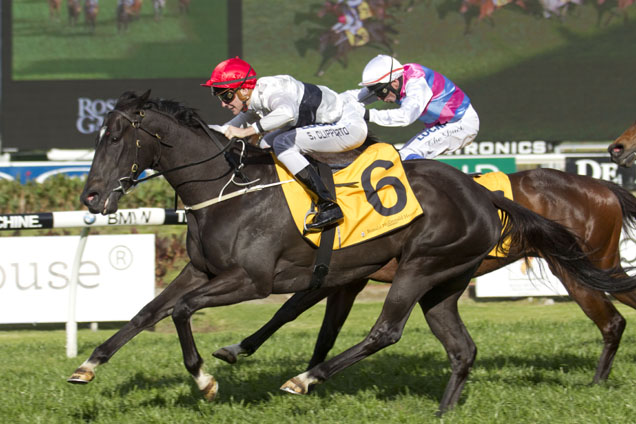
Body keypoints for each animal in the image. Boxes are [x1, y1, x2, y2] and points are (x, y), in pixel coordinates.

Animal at [69, 92, 636, 414]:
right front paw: (89, 365)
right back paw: (441, 411)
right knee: (462, 349)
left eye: (116, 136)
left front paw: (207, 378)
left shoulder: (253, 280)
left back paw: (304, 380)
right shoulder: (203, 270)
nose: (91, 197)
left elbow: (185, 311)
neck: (230, 190)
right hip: (446, 284)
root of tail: (484, 196)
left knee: (386, 331)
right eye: (98, 135)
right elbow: (148, 312)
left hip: (426, 267)